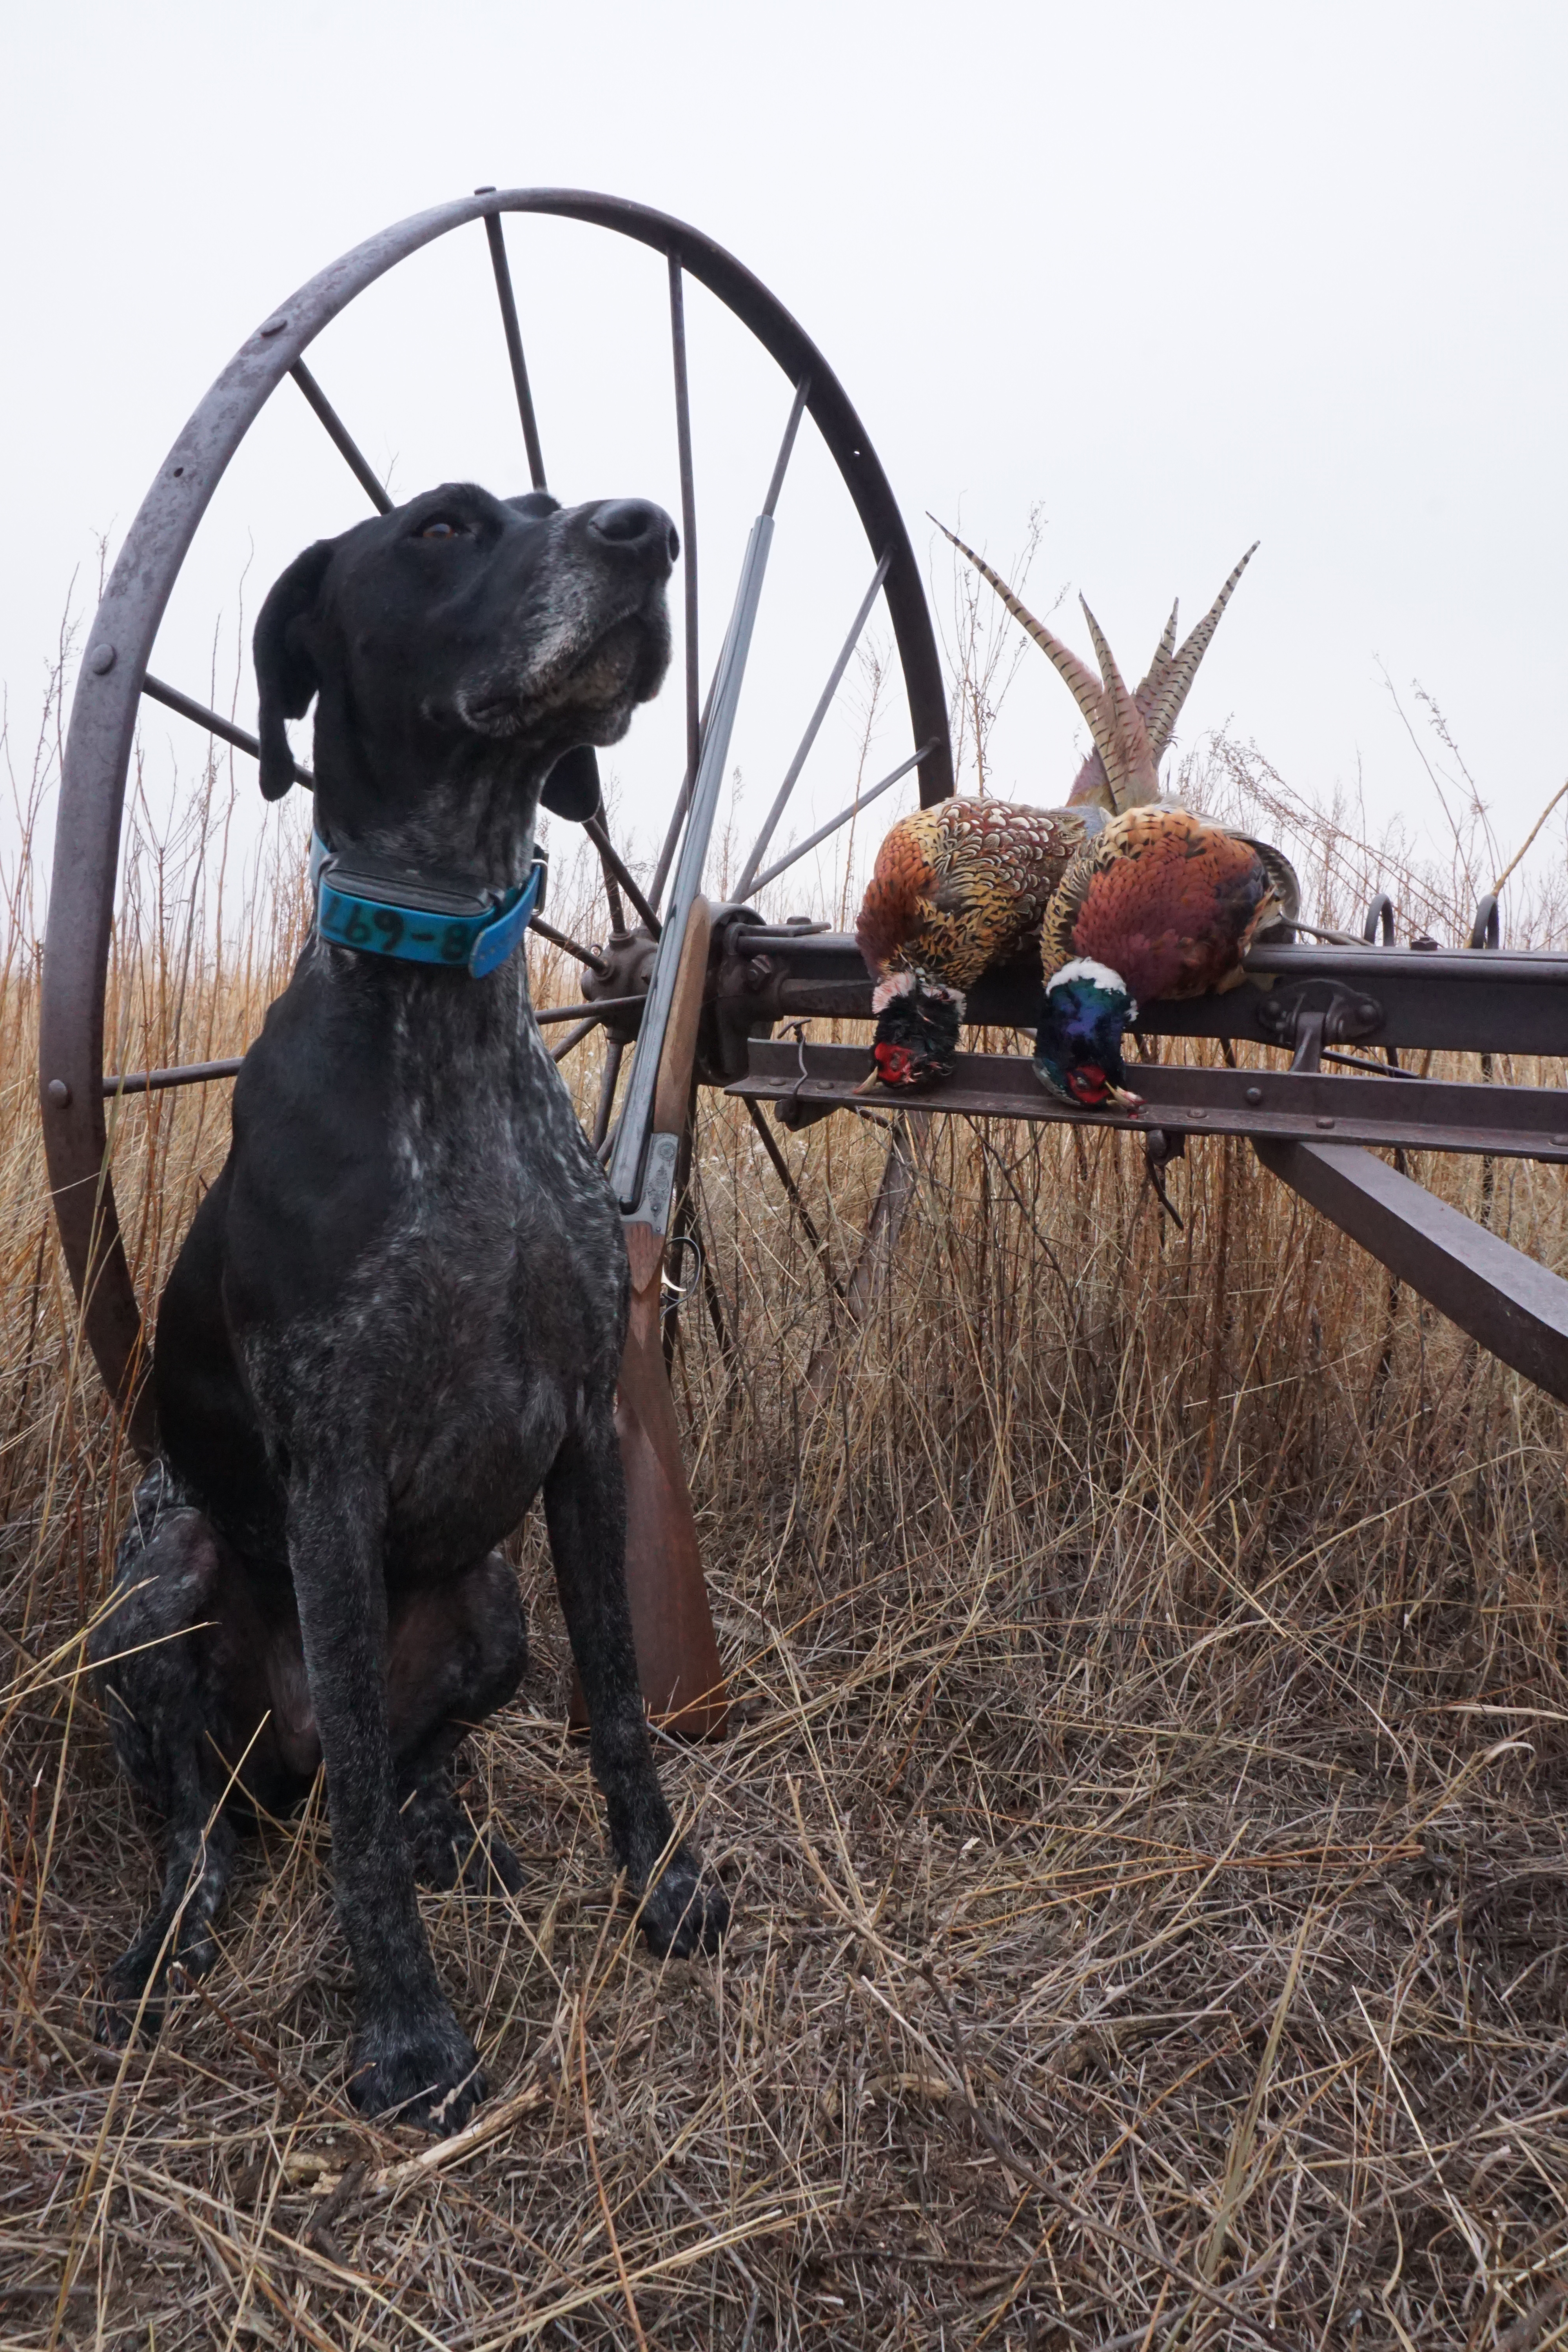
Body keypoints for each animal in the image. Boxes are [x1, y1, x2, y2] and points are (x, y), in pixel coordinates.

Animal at [96, 477, 729, 2136]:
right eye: (444, 525)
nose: (648, 530)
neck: (445, 1002)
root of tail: (286, 1753)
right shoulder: (329, 1468)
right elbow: (362, 1836)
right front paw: (410, 2037)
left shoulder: (583, 1432)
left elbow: (618, 1701)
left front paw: (661, 1888)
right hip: (162, 1581)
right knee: (223, 1813)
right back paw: (175, 1928)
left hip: (492, 1604)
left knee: (407, 1755)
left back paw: (454, 1828)